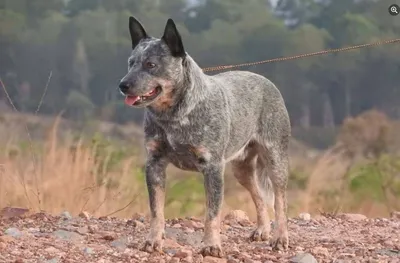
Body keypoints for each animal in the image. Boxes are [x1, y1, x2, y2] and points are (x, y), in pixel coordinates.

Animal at [119, 16, 290, 258]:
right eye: (131, 62)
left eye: (150, 64)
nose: (122, 85)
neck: (174, 116)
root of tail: (266, 81)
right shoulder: (154, 163)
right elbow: (156, 211)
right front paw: (153, 241)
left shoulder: (212, 168)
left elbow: (212, 214)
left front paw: (211, 245)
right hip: (241, 169)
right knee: (258, 196)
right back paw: (262, 230)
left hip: (275, 159)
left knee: (280, 201)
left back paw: (280, 238)